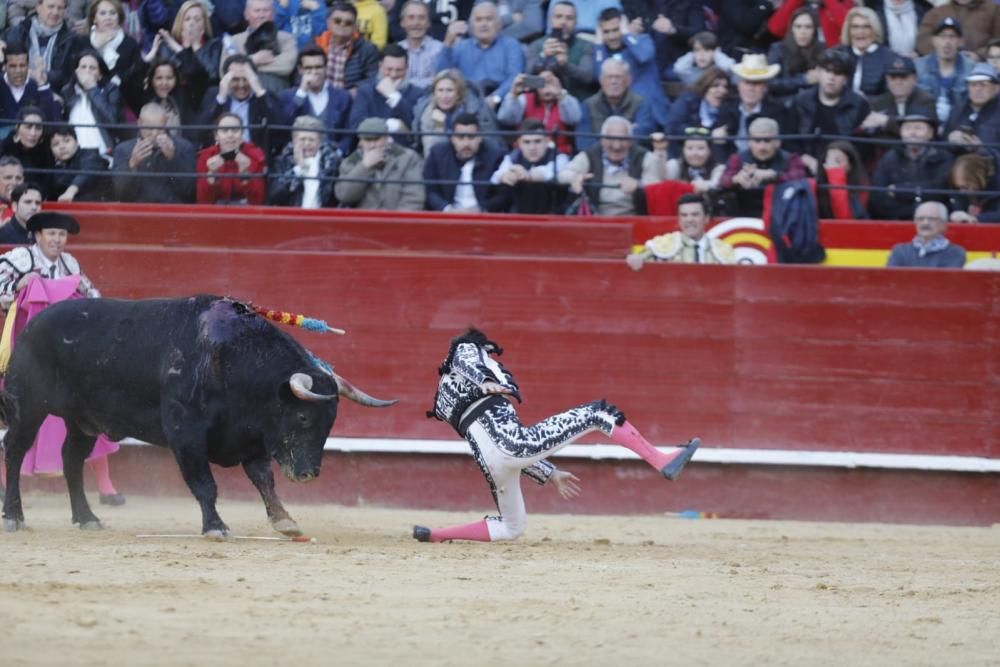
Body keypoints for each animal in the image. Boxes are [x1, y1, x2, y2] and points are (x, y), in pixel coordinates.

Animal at [0, 298, 398, 536]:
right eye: (303, 418)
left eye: (331, 422)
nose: (308, 474)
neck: (232, 360)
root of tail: (32, 324)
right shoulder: (185, 434)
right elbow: (205, 484)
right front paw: (216, 526)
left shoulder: (251, 437)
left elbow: (264, 480)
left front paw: (285, 520)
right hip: (29, 406)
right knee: (15, 450)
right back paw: (14, 517)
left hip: (83, 420)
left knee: (71, 459)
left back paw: (87, 518)